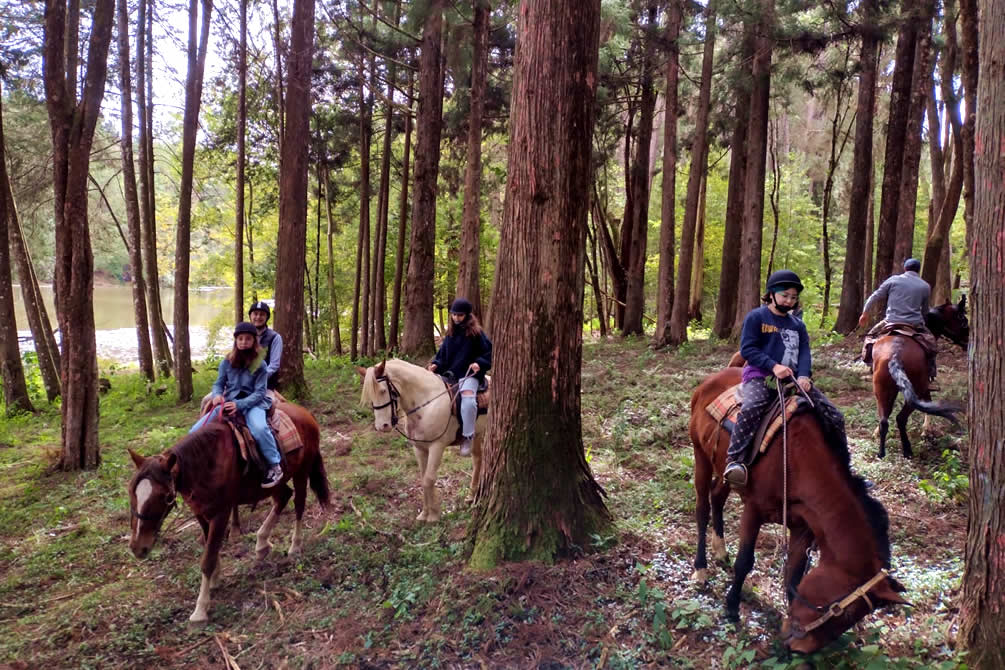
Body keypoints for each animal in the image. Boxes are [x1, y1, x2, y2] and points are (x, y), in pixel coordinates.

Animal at [125, 397, 329, 622]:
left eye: (165, 497)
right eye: (131, 491)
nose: (137, 548)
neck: (205, 463)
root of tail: (305, 413)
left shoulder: (221, 514)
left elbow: (208, 558)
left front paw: (200, 609)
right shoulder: (201, 513)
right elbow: (210, 548)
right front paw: (215, 580)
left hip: (302, 471)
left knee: (299, 504)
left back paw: (294, 546)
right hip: (275, 483)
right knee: (283, 497)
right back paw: (262, 543)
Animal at [361, 359, 486, 522]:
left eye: (382, 391)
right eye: (371, 395)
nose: (382, 426)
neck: (427, 403)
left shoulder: (437, 447)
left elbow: (429, 479)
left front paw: (433, 515)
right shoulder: (419, 448)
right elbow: (423, 478)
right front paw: (424, 514)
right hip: (478, 435)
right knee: (477, 460)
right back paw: (471, 497)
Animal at [687, 367, 908, 654]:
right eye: (842, 612)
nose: (800, 649)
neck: (799, 461)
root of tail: (711, 380)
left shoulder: (804, 527)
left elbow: (793, 576)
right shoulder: (754, 510)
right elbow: (745, 561)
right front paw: (732, 607)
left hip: (723, 468)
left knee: (717, 497)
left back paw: (721, 550)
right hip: (701, 455)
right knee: (702, 508)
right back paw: (701, 569)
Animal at [872, 295, 964, 458]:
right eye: (963, 321)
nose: (968, 342)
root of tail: (896, 354)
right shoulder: (925, 385)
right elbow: (929, 402)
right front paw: (926, 431)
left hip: (882, 390)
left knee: (884, 420)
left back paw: (881, 453)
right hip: (916, 389)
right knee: (901, 418)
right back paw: (907, 450)